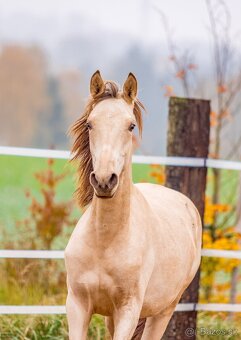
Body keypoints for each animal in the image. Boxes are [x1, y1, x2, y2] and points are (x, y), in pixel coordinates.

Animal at [65, 70, 202, 338]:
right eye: (90, 124)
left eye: (131, 126)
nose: (104, 180)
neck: (104, 241)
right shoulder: (77, 305)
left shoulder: (128, 311)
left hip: (163, 311)